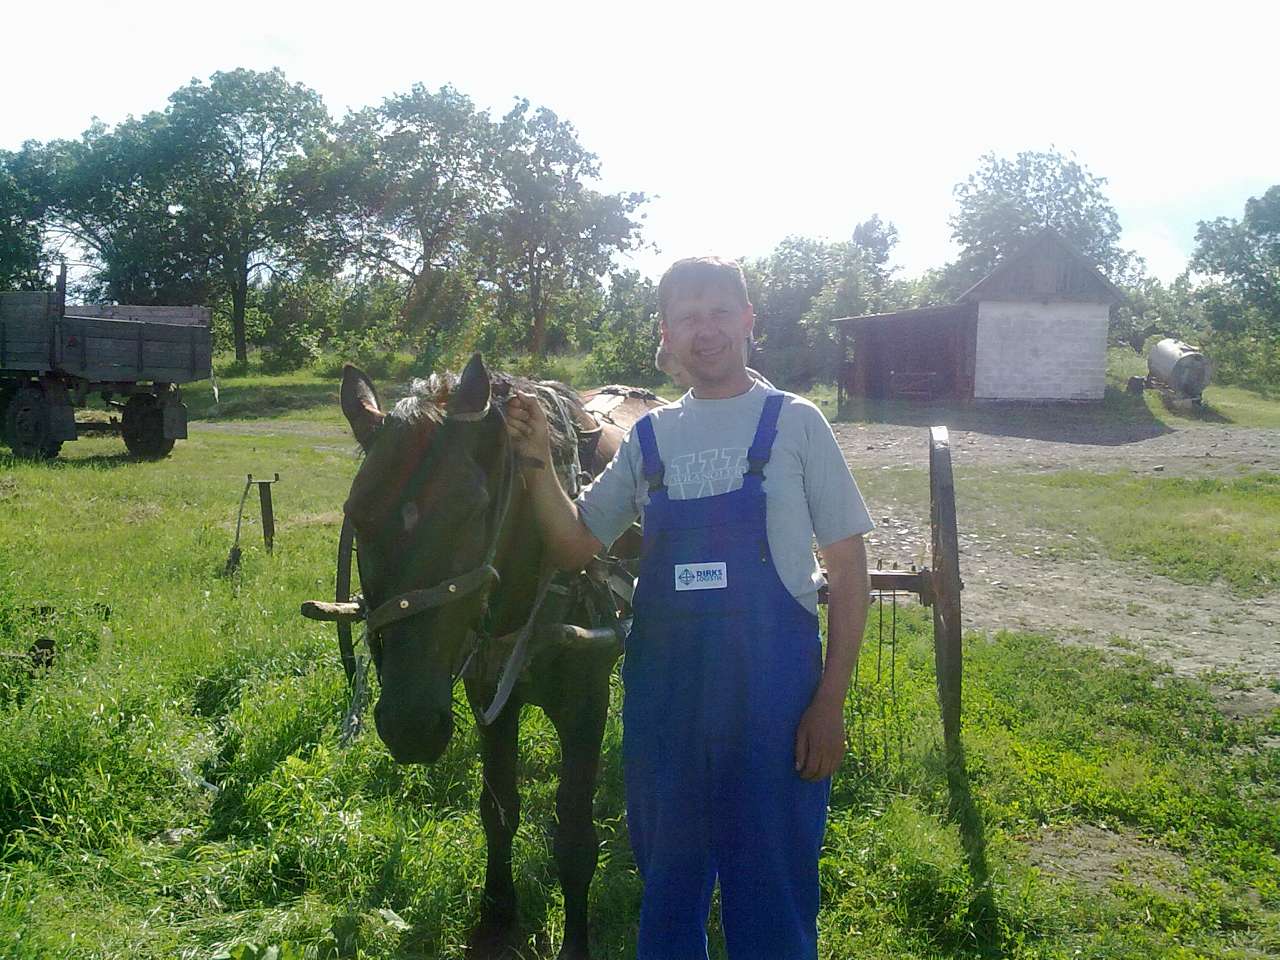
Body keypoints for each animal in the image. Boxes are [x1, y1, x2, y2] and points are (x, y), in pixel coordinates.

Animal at [337, 358, 660, 957]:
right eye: (357, 515)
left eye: (473, 512)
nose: (411, 726)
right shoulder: (488, 695)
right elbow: (498, 809)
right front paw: (496, 917)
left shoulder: (585, 704)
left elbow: (574, 836)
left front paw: (574, 944)